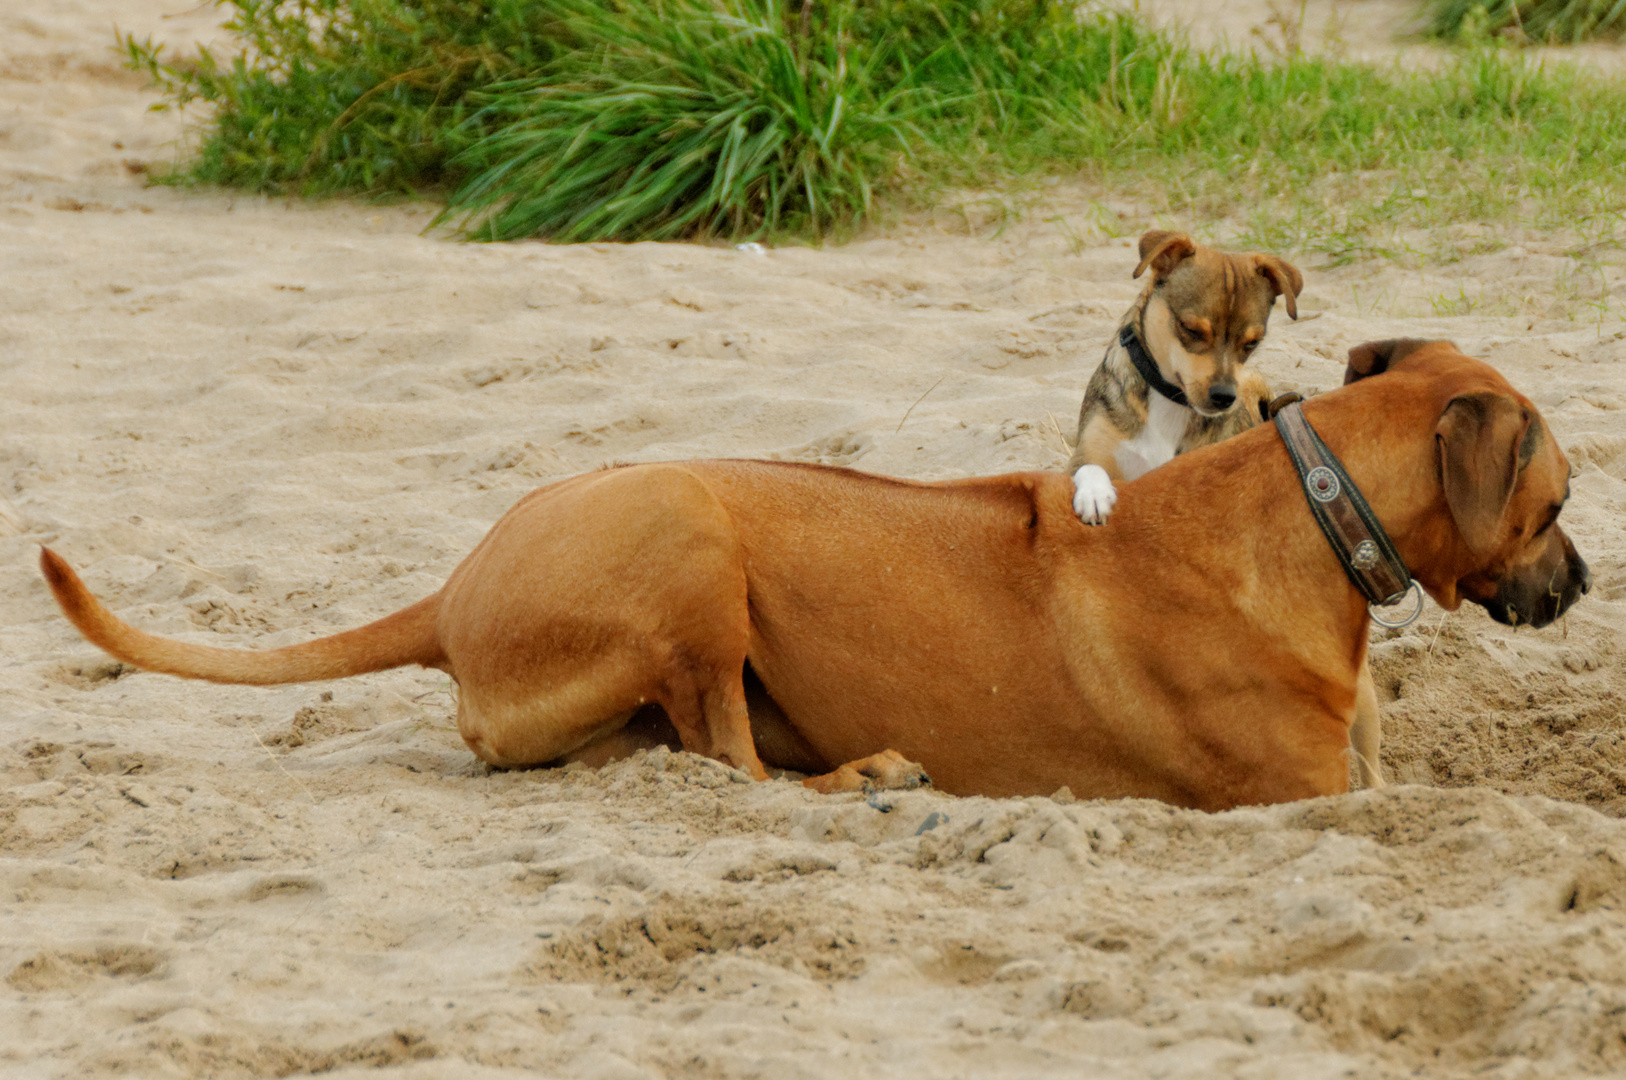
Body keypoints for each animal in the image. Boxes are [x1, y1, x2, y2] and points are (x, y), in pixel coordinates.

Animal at [41, 341, 1586, 806]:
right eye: (1563, 499)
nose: (1577, 587)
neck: (1311, 518)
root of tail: (455, 587)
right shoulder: (1309, 800)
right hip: (687, 534)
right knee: (732, 768)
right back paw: (859, 778)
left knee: (686, 751)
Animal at [1066, 229, 1307, 523]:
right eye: (1191, 329)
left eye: (1252, 343)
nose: (1224, 396)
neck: (1169, 400)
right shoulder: (1085, 454)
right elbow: (1089, 467)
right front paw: (1095, 493)